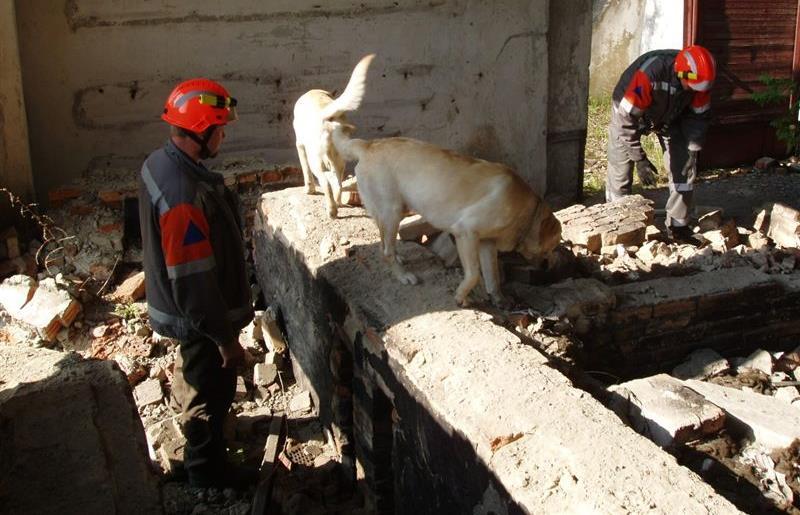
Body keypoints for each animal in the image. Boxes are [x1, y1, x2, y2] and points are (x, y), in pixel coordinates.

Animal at [294, 55, 376, 220]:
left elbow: (305, 171)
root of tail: (327, 115)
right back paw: (338, 205)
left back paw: (331, 211)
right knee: (337, 184)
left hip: (316, 161)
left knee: (326, 183)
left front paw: (309, 190)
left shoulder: (300, 145)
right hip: (340, 161)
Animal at [326, 121, 564, 306]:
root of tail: (368, 144)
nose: (549, 267)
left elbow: (493, 276)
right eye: (552, 246)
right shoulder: (466, 232)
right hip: (392, 211)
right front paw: (461, 297)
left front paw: (498, 299)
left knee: (384, 241)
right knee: (386, 251)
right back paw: (403, 276)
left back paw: (399, 257)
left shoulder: (488, 243)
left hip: (390, 210)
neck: (528, 212)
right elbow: (473, 274)